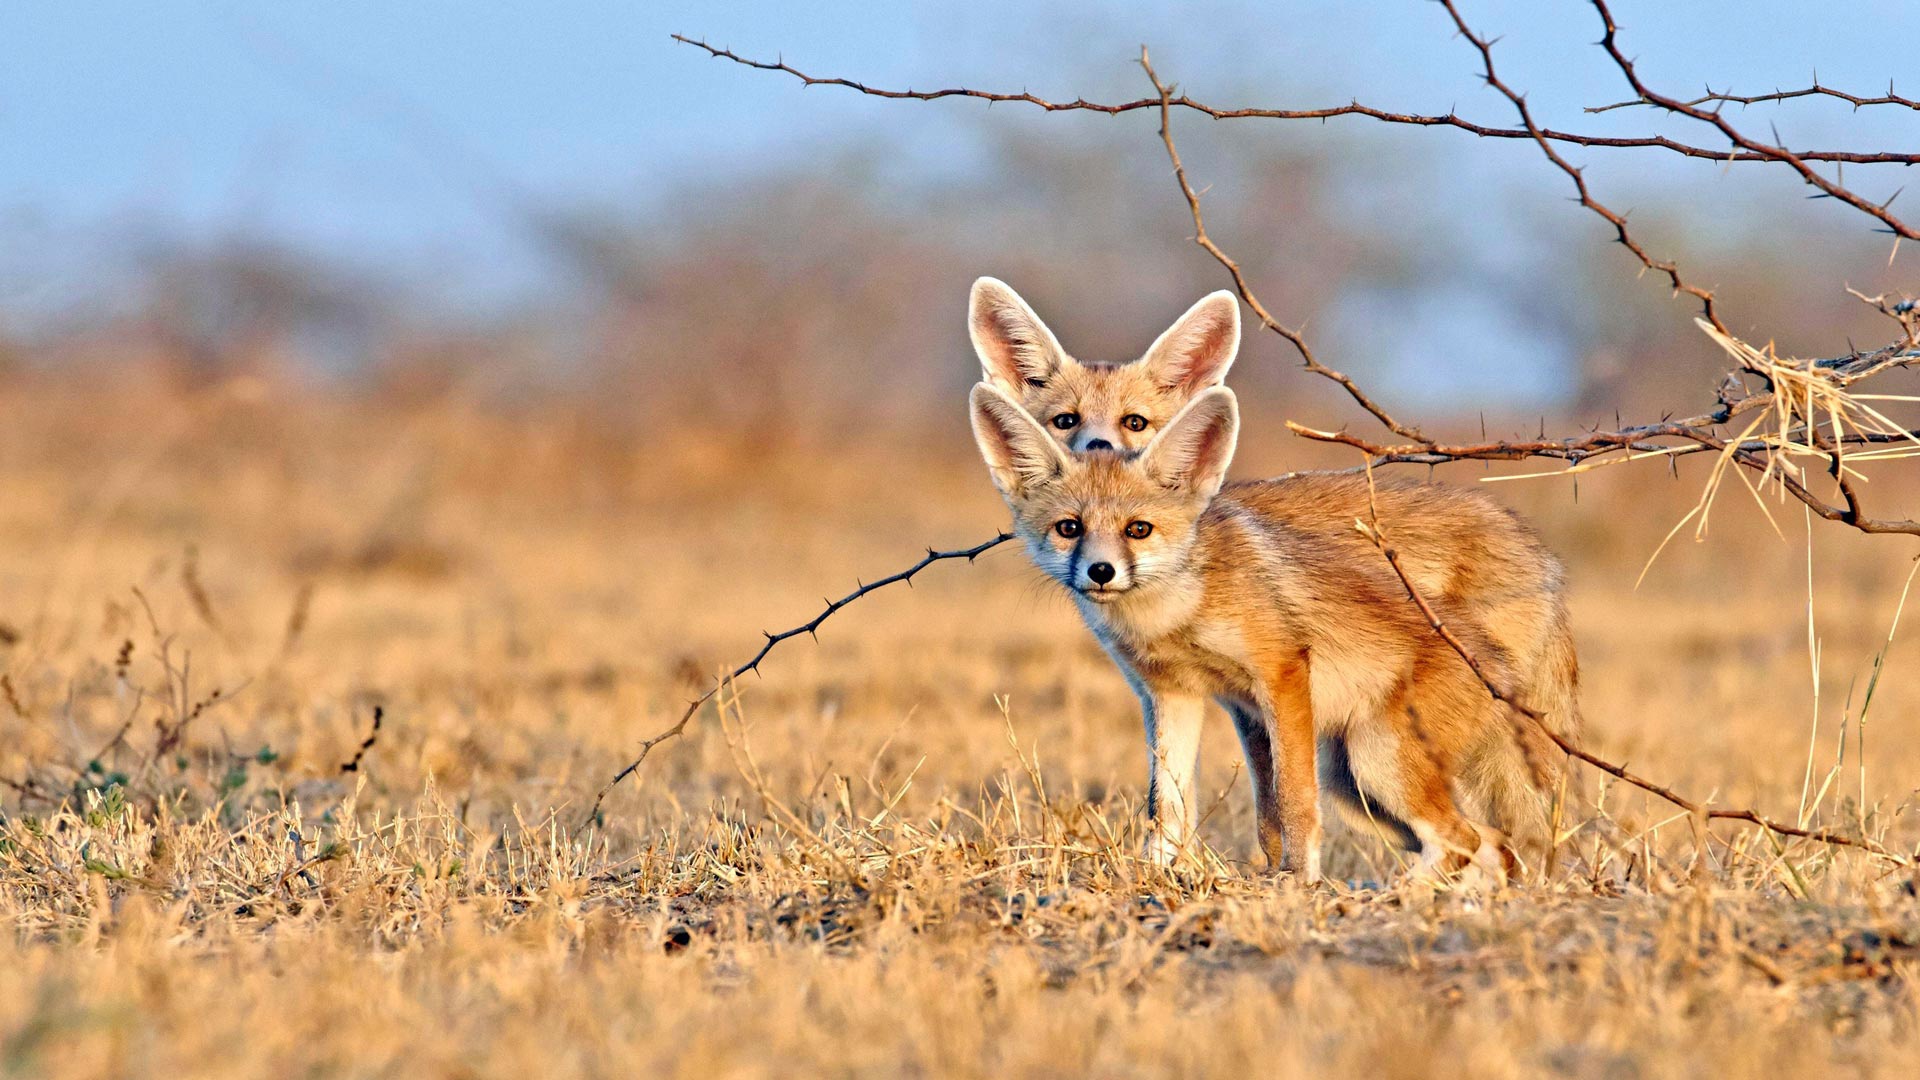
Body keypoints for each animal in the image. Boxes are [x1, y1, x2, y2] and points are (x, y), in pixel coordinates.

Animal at [967, 278, 1582, 876]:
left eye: (1134, 423)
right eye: (1069, 528)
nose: (1101, 570)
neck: (1175, 611)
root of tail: (1541, 553)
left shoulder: (1281, 677)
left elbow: (1292, 803)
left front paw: (1296, 884)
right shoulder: (1179, 696)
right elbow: (1172, 805)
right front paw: (1161, 876)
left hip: (1374, 759)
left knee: (1465, 839)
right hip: (1355, 783)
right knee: (1491, 845)